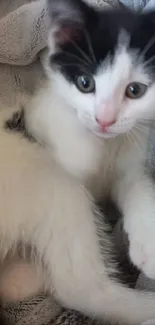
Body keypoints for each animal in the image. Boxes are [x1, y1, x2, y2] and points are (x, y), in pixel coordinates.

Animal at [1, 1, 155, 322]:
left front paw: (148, 238)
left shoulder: (132, 159)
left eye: (135, 90)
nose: (105, 119)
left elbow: (138, 185)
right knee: (82, 287)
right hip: (47, 178)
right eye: (86, 83)